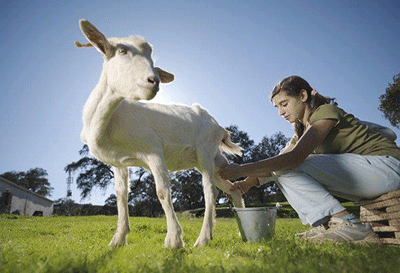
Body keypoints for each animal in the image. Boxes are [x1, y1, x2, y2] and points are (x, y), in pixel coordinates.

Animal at [75, 20, 244, 248]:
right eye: (122, 50)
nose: (153, 81)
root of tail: (219, 126)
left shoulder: (153, 151)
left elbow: (162, 192)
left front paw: (174, 240)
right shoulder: (119, 163)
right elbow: (121, 196)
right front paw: (118, 239)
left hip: (205, 151)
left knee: (210, 191)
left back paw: (202, 239)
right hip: (212, 161)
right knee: (232, 188)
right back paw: (240, 232)